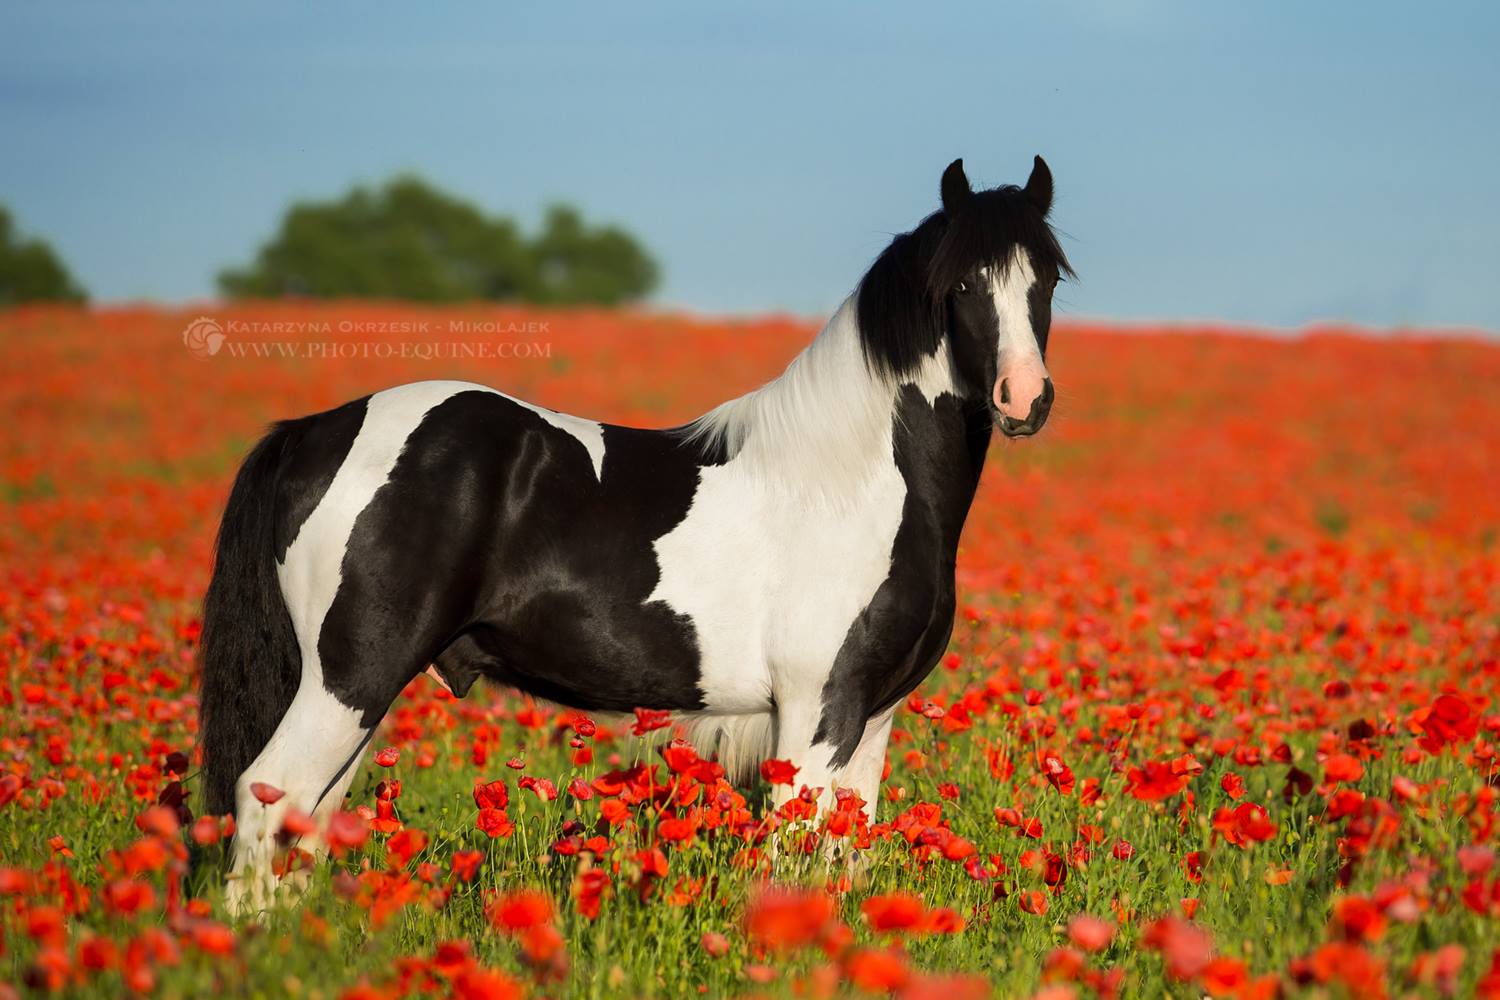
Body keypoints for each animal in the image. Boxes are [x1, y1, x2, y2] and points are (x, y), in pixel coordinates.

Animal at [199, 154, 1074, 905]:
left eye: (1048, 280)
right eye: (962, 281)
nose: (1023, 398)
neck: (847, 480)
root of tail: (313, 432)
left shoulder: (872, 719)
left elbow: (844, 861)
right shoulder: (815, 713)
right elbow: (793, 860)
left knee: (304, 819)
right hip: (349, 678)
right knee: (266, 795)